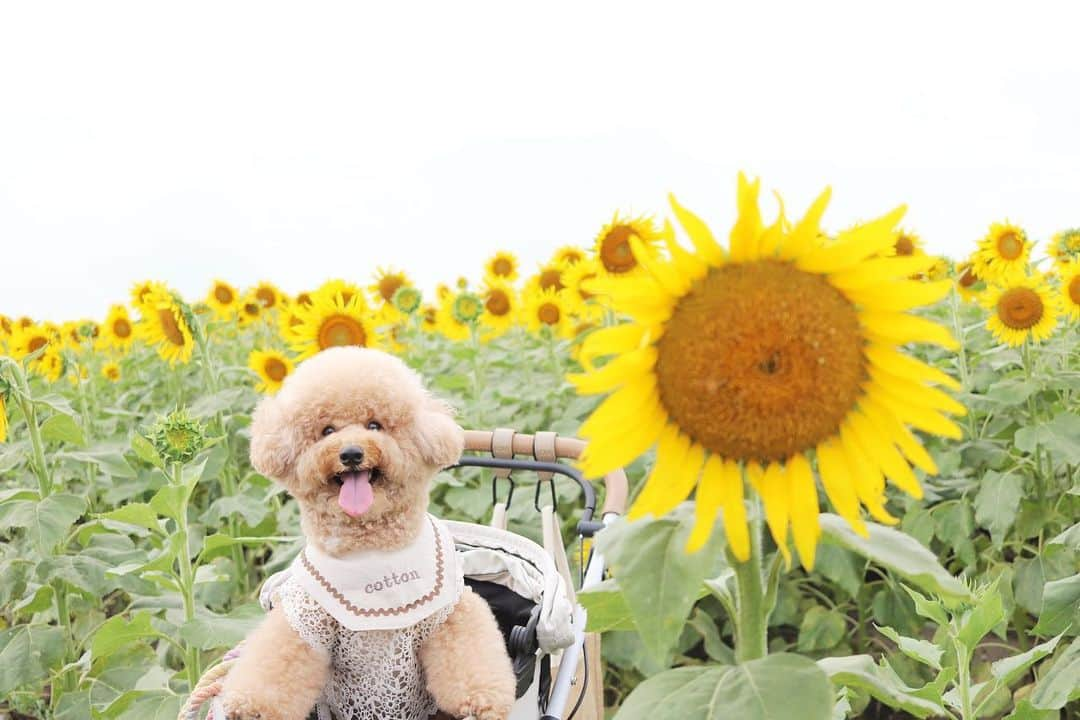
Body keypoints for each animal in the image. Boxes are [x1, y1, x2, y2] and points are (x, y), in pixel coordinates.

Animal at [219, 345, 514, 720]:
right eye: (327, 430)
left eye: (375, 425)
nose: (351, 453)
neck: (370, 549)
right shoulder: (305, 620)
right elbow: (279, 656)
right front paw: (251, 707)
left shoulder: (449, 612)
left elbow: (469, 649)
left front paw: (482, 700)